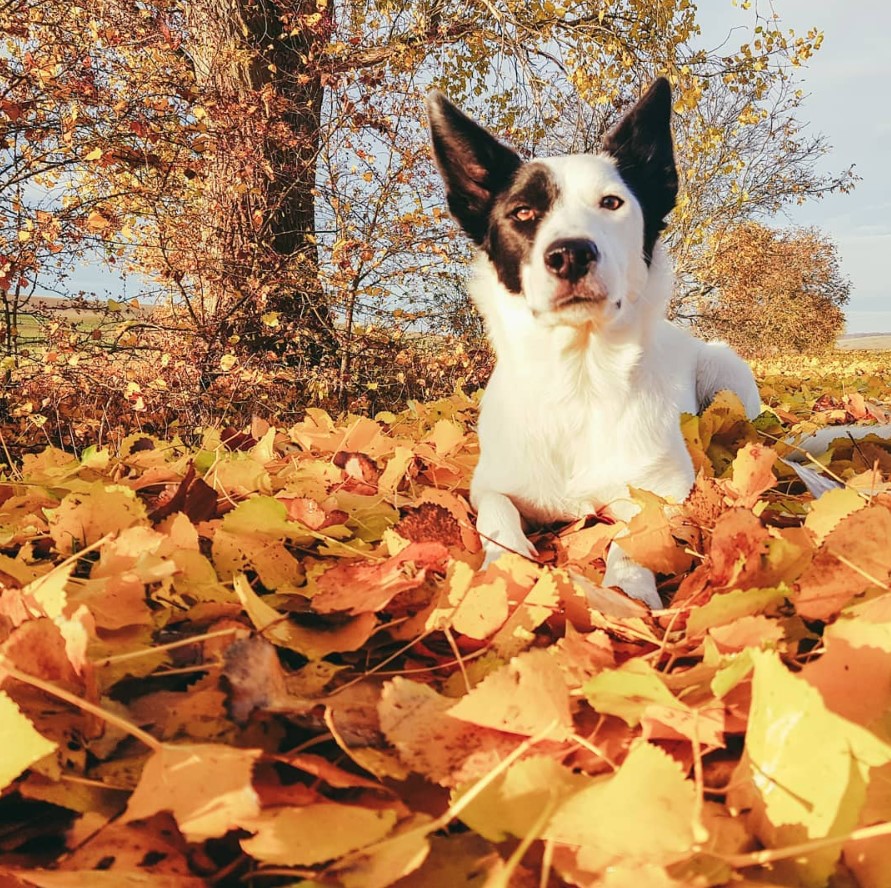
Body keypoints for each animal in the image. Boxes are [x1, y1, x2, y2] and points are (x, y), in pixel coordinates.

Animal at [428, 80, 764, 608]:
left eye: (612, 203)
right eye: (523, 212)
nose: (570, 254)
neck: (579, 382)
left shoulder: (666, 490)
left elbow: (635, 535)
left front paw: (627, 589)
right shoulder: (490, 485)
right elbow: (497, 517)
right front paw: (503, 570)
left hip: (724, 370)